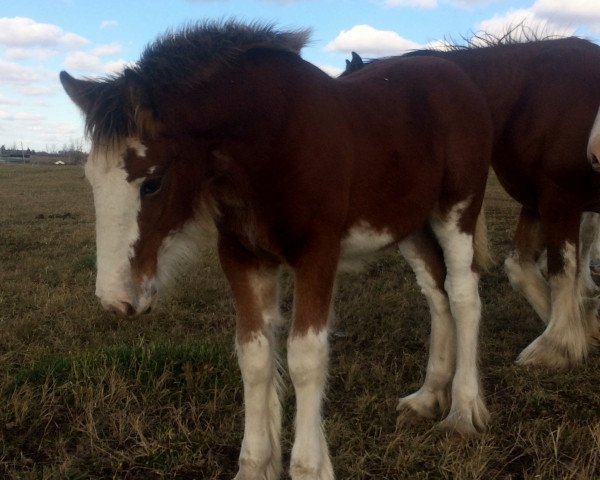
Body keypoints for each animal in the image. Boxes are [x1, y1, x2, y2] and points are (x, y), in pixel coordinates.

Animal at [61, 19, 494, 480]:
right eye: (90, 179)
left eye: (152, 182)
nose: (116, 300)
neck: (273, 142)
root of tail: (454, 76)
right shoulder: (244, 258)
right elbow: (254, 357)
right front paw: (256, 465)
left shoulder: (317, 256)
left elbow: (305, 357)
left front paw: (308, 466)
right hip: (411, 225)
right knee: (437, 295)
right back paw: (429, 397)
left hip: (457, 210)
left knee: (463, 296)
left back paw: (463, 412)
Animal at [344, 34, 600, 372]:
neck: (532, 96)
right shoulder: (537, 202)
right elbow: (519, 267)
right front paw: (586, 328)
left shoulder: (561, 200)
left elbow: (562, 270)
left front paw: (557, 345)